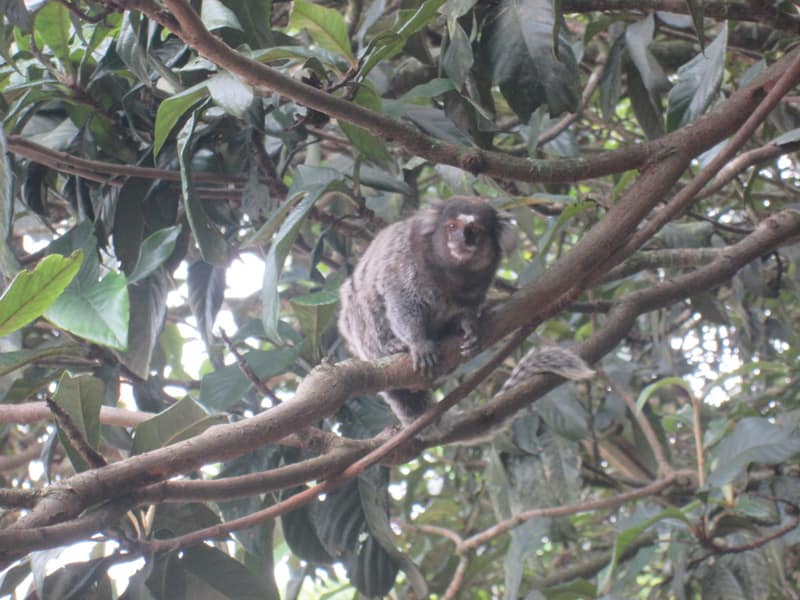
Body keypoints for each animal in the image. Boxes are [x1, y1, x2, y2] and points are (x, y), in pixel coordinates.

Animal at [338, 196, 516, 425]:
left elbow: (468, 308)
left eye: (475, 229)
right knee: (360, 302)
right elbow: (401, 300)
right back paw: (391, 347)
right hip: (362, 341)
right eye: (452, 227)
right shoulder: (408, 261)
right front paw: (418, 343)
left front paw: (468, 324)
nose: (463, 239)